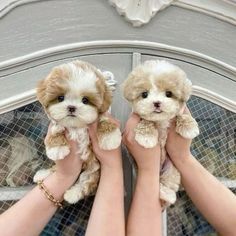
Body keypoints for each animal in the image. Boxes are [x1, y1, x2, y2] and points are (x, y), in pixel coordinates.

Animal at [33, 60, 121, 204]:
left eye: (85, 100)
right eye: (60, 98)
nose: (71, 107)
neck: (76, 127)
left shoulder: (101, 116)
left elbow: (105, 120)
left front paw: (110, 139)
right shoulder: (57, 124)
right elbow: (55, 129)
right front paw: (57, 149)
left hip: (93, 167)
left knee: (87, 180)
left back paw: (72, 194)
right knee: (56, 169)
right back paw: (42, 174)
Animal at [123, 59, 199, 208]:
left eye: (168, 94)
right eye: (144, 94)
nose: (157, 103)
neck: (160, 120)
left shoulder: (177, 113)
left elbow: (180, 116)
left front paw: (189, 127)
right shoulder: (139, 117)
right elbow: (146, 122)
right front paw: (147, 138)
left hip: (172, 169)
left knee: (167, 182)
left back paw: (167, 196)